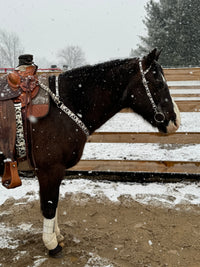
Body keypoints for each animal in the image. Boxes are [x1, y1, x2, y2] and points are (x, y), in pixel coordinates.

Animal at [24, 48, 180, 258]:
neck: (62, 108)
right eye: (159, 83)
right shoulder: (49, 169)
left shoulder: (51, 171)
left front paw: (57, 236)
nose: (175, 121)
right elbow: (49, 205)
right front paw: (52, 245)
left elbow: (53, 204)